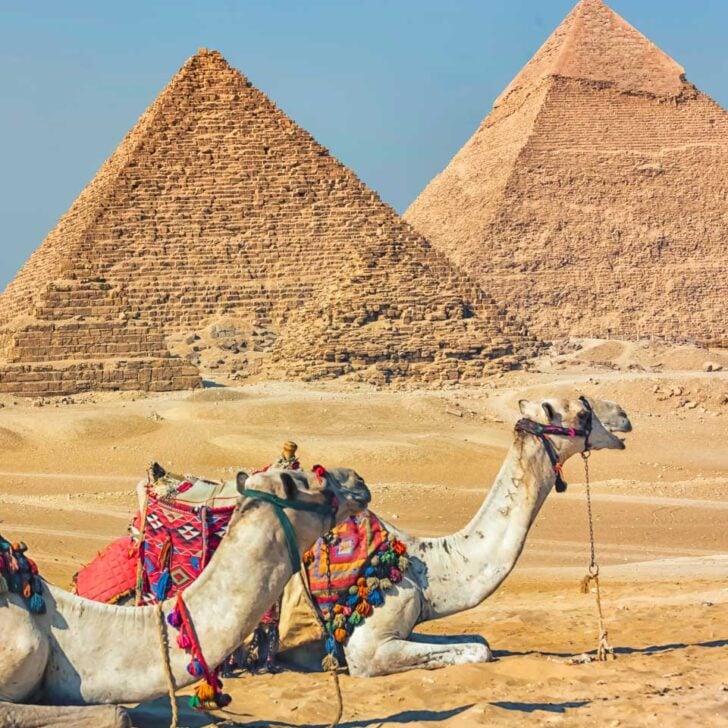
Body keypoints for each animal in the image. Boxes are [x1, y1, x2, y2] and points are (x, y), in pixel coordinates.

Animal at [282, 396, 632, 676]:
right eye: (581, 413)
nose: (623, 413)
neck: (424, 565)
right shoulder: (366, 650)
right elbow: (480, 650)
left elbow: (478, 639)